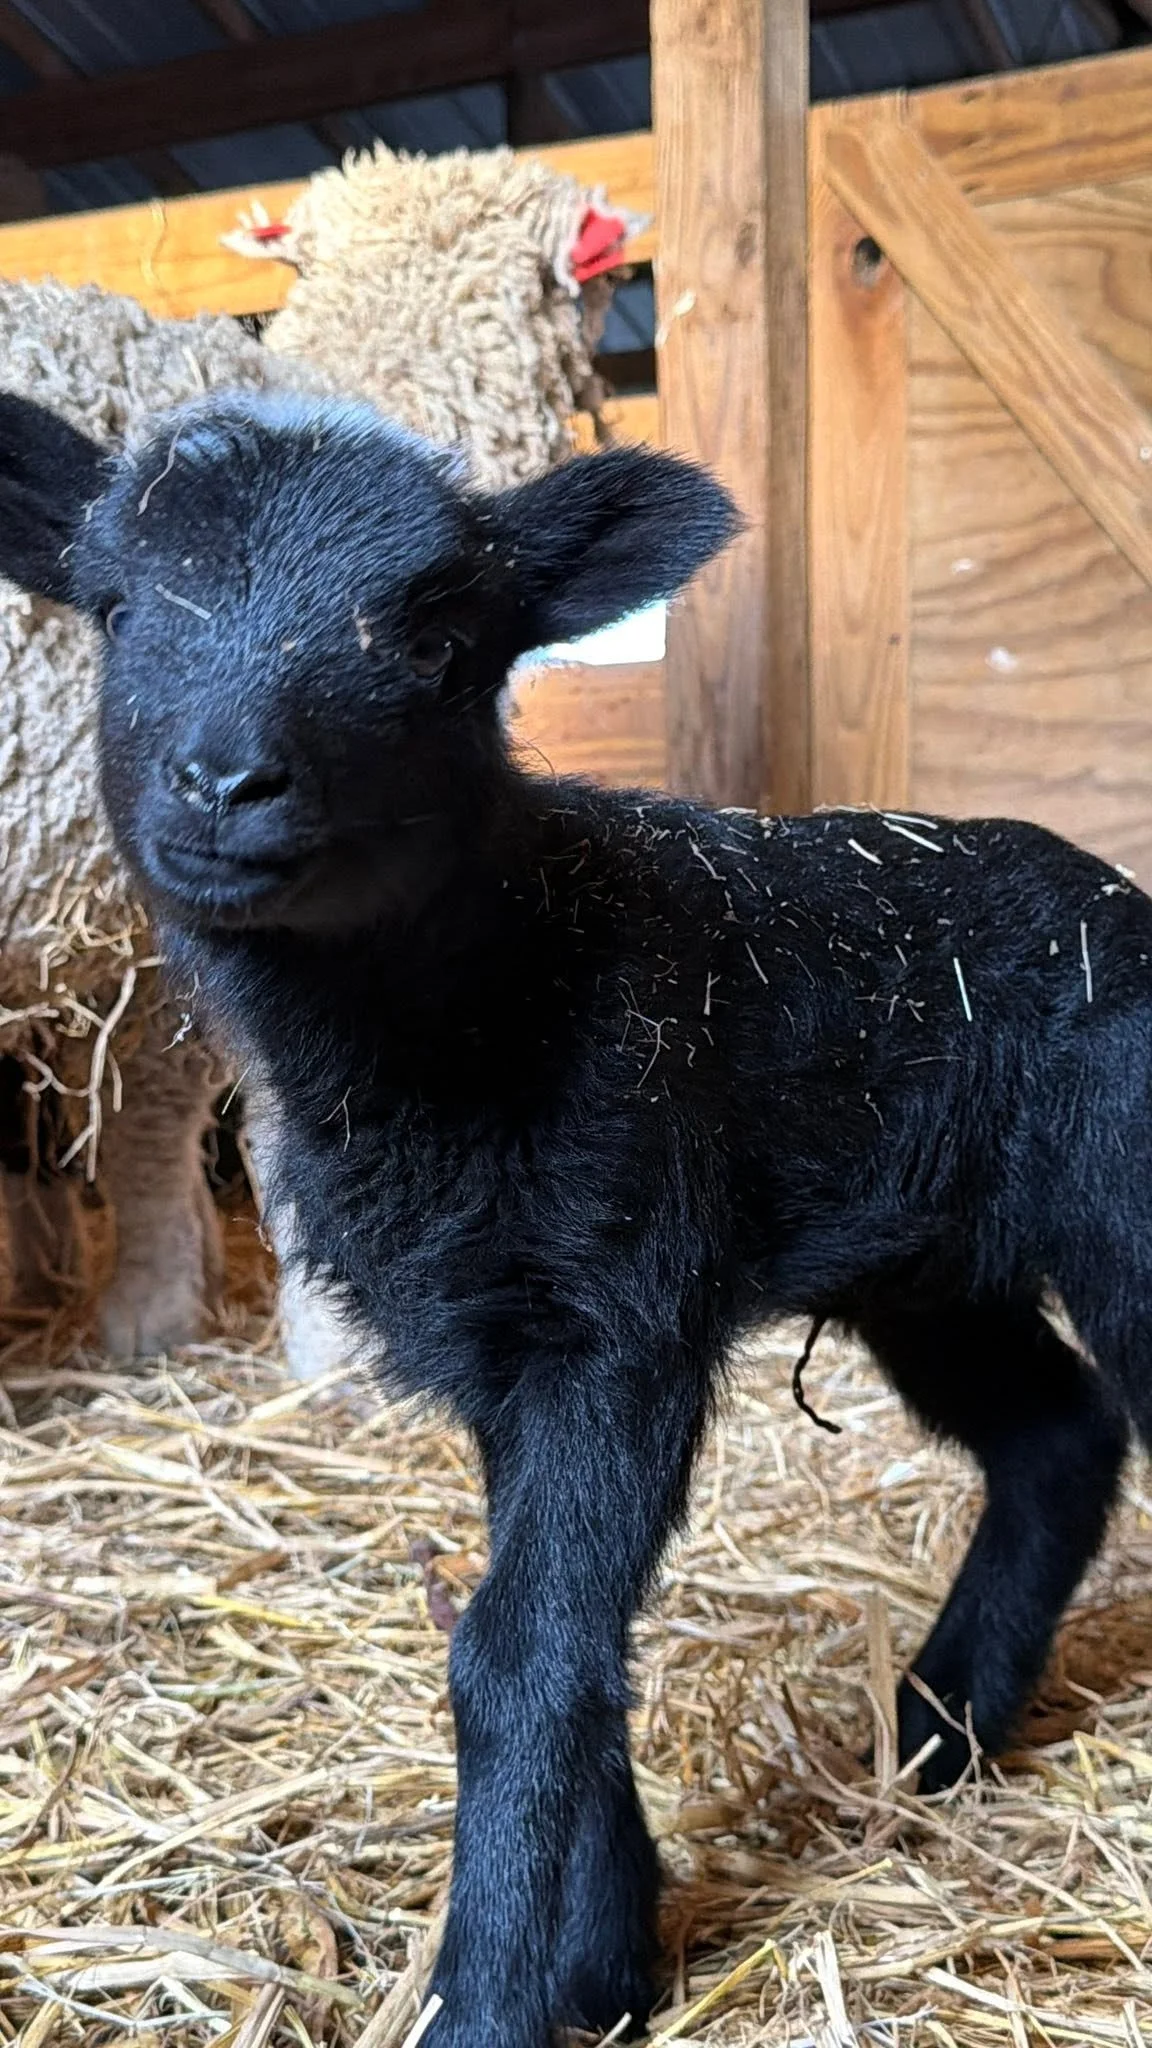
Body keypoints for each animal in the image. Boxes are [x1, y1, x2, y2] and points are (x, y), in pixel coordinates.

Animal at [0, 386, 1143, 2046]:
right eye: (118, 610)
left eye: (434, 643)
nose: (222, 782)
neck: (502, 976)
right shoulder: (502, 1341)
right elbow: (548, 1629)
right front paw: (606, 1963)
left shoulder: (619, 1315)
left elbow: (519, 1654)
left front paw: (489, 1996)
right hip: (931, 1261)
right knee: (1057, 1435)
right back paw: (938, 1733)